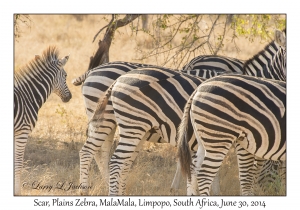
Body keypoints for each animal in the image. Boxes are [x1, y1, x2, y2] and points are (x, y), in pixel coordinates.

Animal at [13, 46, 71, 195]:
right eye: (66, 76)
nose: (70, 97)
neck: (27, 97)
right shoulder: (22, 132)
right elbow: (18, 163)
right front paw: (17, 192)